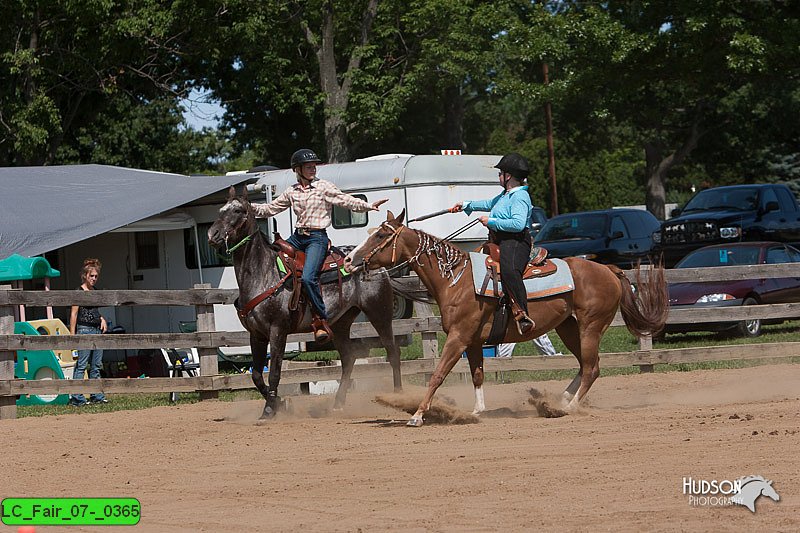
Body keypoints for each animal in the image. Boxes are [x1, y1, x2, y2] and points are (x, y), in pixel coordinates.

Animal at [208, 189, 404, 418]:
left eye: (238, 210)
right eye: (220, 210)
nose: (212, 235)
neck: (263, 273)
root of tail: (376, 264)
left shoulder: (278, 331)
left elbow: (274, 373)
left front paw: (269, 409)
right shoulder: (256, 334)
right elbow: (256, 375)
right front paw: (280, 403)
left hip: (379, 313)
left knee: (392, 351)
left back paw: (398, 395)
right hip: (341, 323)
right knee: (348, 358)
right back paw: (338, 403)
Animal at [344, 210, 668, 426]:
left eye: (381, 235)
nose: (348, 259)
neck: (456, 279)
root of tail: (609, 270)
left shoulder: (458, 337)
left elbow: (437, 374)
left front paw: (418, 414)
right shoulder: (473, 341)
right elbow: (477, 375)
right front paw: (476, 411)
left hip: (591, 326)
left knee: (591, 368)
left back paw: (567, 408)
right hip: (569, 327)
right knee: (584, 365)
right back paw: (559, 399)